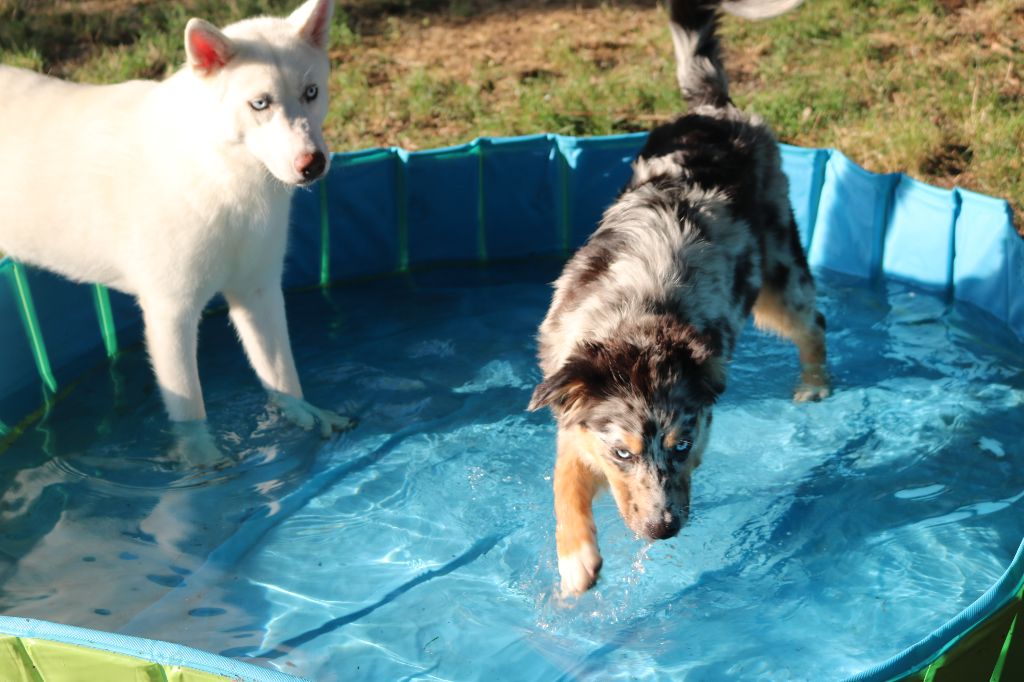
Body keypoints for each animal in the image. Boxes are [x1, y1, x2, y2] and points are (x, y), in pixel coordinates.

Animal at [0, 0, 351, 455]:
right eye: (260, 103)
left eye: (311, 93)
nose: (313, 165)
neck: (222, 174)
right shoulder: (171, 313)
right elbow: (190, 413)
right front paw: (205, 465)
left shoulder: (258, 293)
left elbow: (283, 381)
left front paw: (305, 416)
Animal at [528, 0, 829, 597]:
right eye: (622, 452)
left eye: (682, 445)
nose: (662, 530)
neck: (635, 321)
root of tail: (713, 108)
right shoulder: (575, 408)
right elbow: (565, 476)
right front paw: (575, 558)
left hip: (780, 272)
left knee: (814, 323)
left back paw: (815, 385)